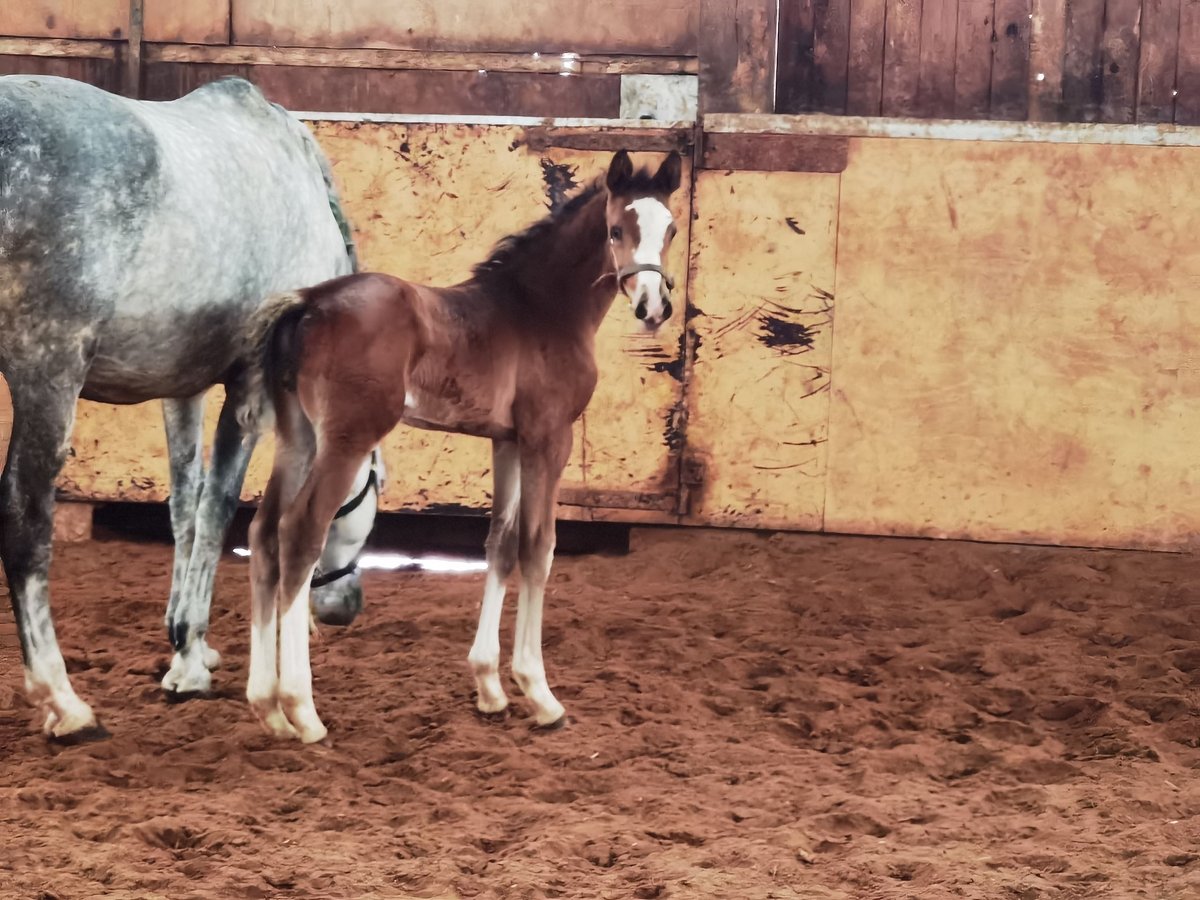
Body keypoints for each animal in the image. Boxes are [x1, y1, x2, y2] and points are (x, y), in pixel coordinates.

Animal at [0, 75, 379, 739]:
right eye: (369, 487)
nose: (344, 607)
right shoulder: (252, 386)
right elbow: (217, 508)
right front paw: (190, 662)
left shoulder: (182, 388)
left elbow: (184, 504)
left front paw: (187, 644)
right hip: (48, 375)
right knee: (24, 522)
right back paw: (63, 702)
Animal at [237, 150, 681, 739]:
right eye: (615, 230)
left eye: (671, 229)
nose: (654, 307)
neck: (541, 310)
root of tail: (308, 301)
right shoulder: (549, 438)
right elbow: (537, 546)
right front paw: (540, 694)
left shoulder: (507, 441)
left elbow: (500, 543)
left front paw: (490, 687)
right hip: (346, 440)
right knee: (300, 532)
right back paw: (302, 711)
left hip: (298, 438)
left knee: (263, 534)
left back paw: (268, 709)